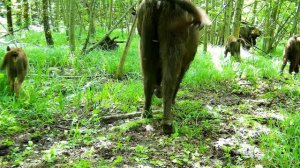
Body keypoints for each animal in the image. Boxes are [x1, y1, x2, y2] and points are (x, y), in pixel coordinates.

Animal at [137, 0, 211, 134]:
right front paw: (173, 101)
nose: (158, 92)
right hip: (173, 45)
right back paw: (167, 124)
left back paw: (146, 113)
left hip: (145, 45)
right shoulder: (185, 64)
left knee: (147, 81)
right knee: (169, 82)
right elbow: (178, 81)